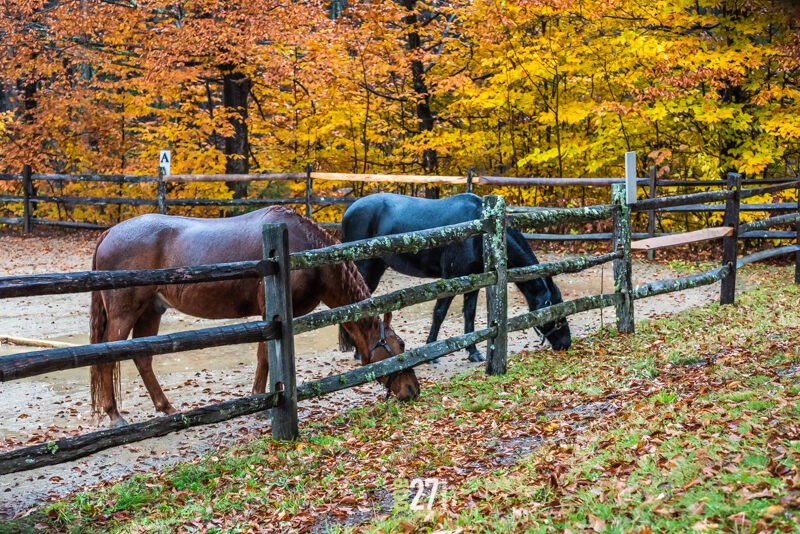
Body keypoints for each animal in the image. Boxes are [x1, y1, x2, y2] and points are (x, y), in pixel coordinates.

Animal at [89, 207, 418, 430]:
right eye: (399, 347)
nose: (413, 390)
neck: (304, 251)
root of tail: (109, 234)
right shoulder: (270, 315)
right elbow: (265, 358)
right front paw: (262, 402)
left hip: (150, 311)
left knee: (142, 357)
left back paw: (167, 408)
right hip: (125, 313)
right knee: (107, 357)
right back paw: (115, 415)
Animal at [340, 194, 572, 364]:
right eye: (553, 306)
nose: (566, 343)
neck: (480, 232)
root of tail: (349, 210)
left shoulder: (474, 280)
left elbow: (469, 314)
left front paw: (473, 352)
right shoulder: (450, 279)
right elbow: (439, 313)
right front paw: (431, 352)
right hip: (365, 269)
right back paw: (358, 352)